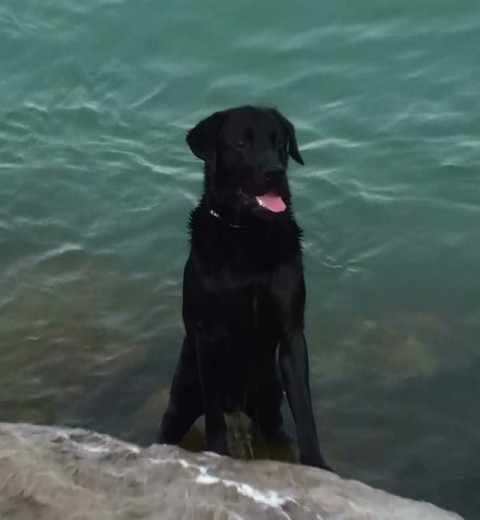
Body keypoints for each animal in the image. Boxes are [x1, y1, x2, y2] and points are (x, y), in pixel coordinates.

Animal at [158, 105, 330, 472]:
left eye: (279, 141)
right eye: (240, 143)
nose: (274, 172)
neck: (247, 236)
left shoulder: (292, 334)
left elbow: (304, 409)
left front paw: (316, 464)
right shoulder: (206, 335)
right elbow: (213, 418)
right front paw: (217, 453)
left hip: (268, 403)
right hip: (182, 398)